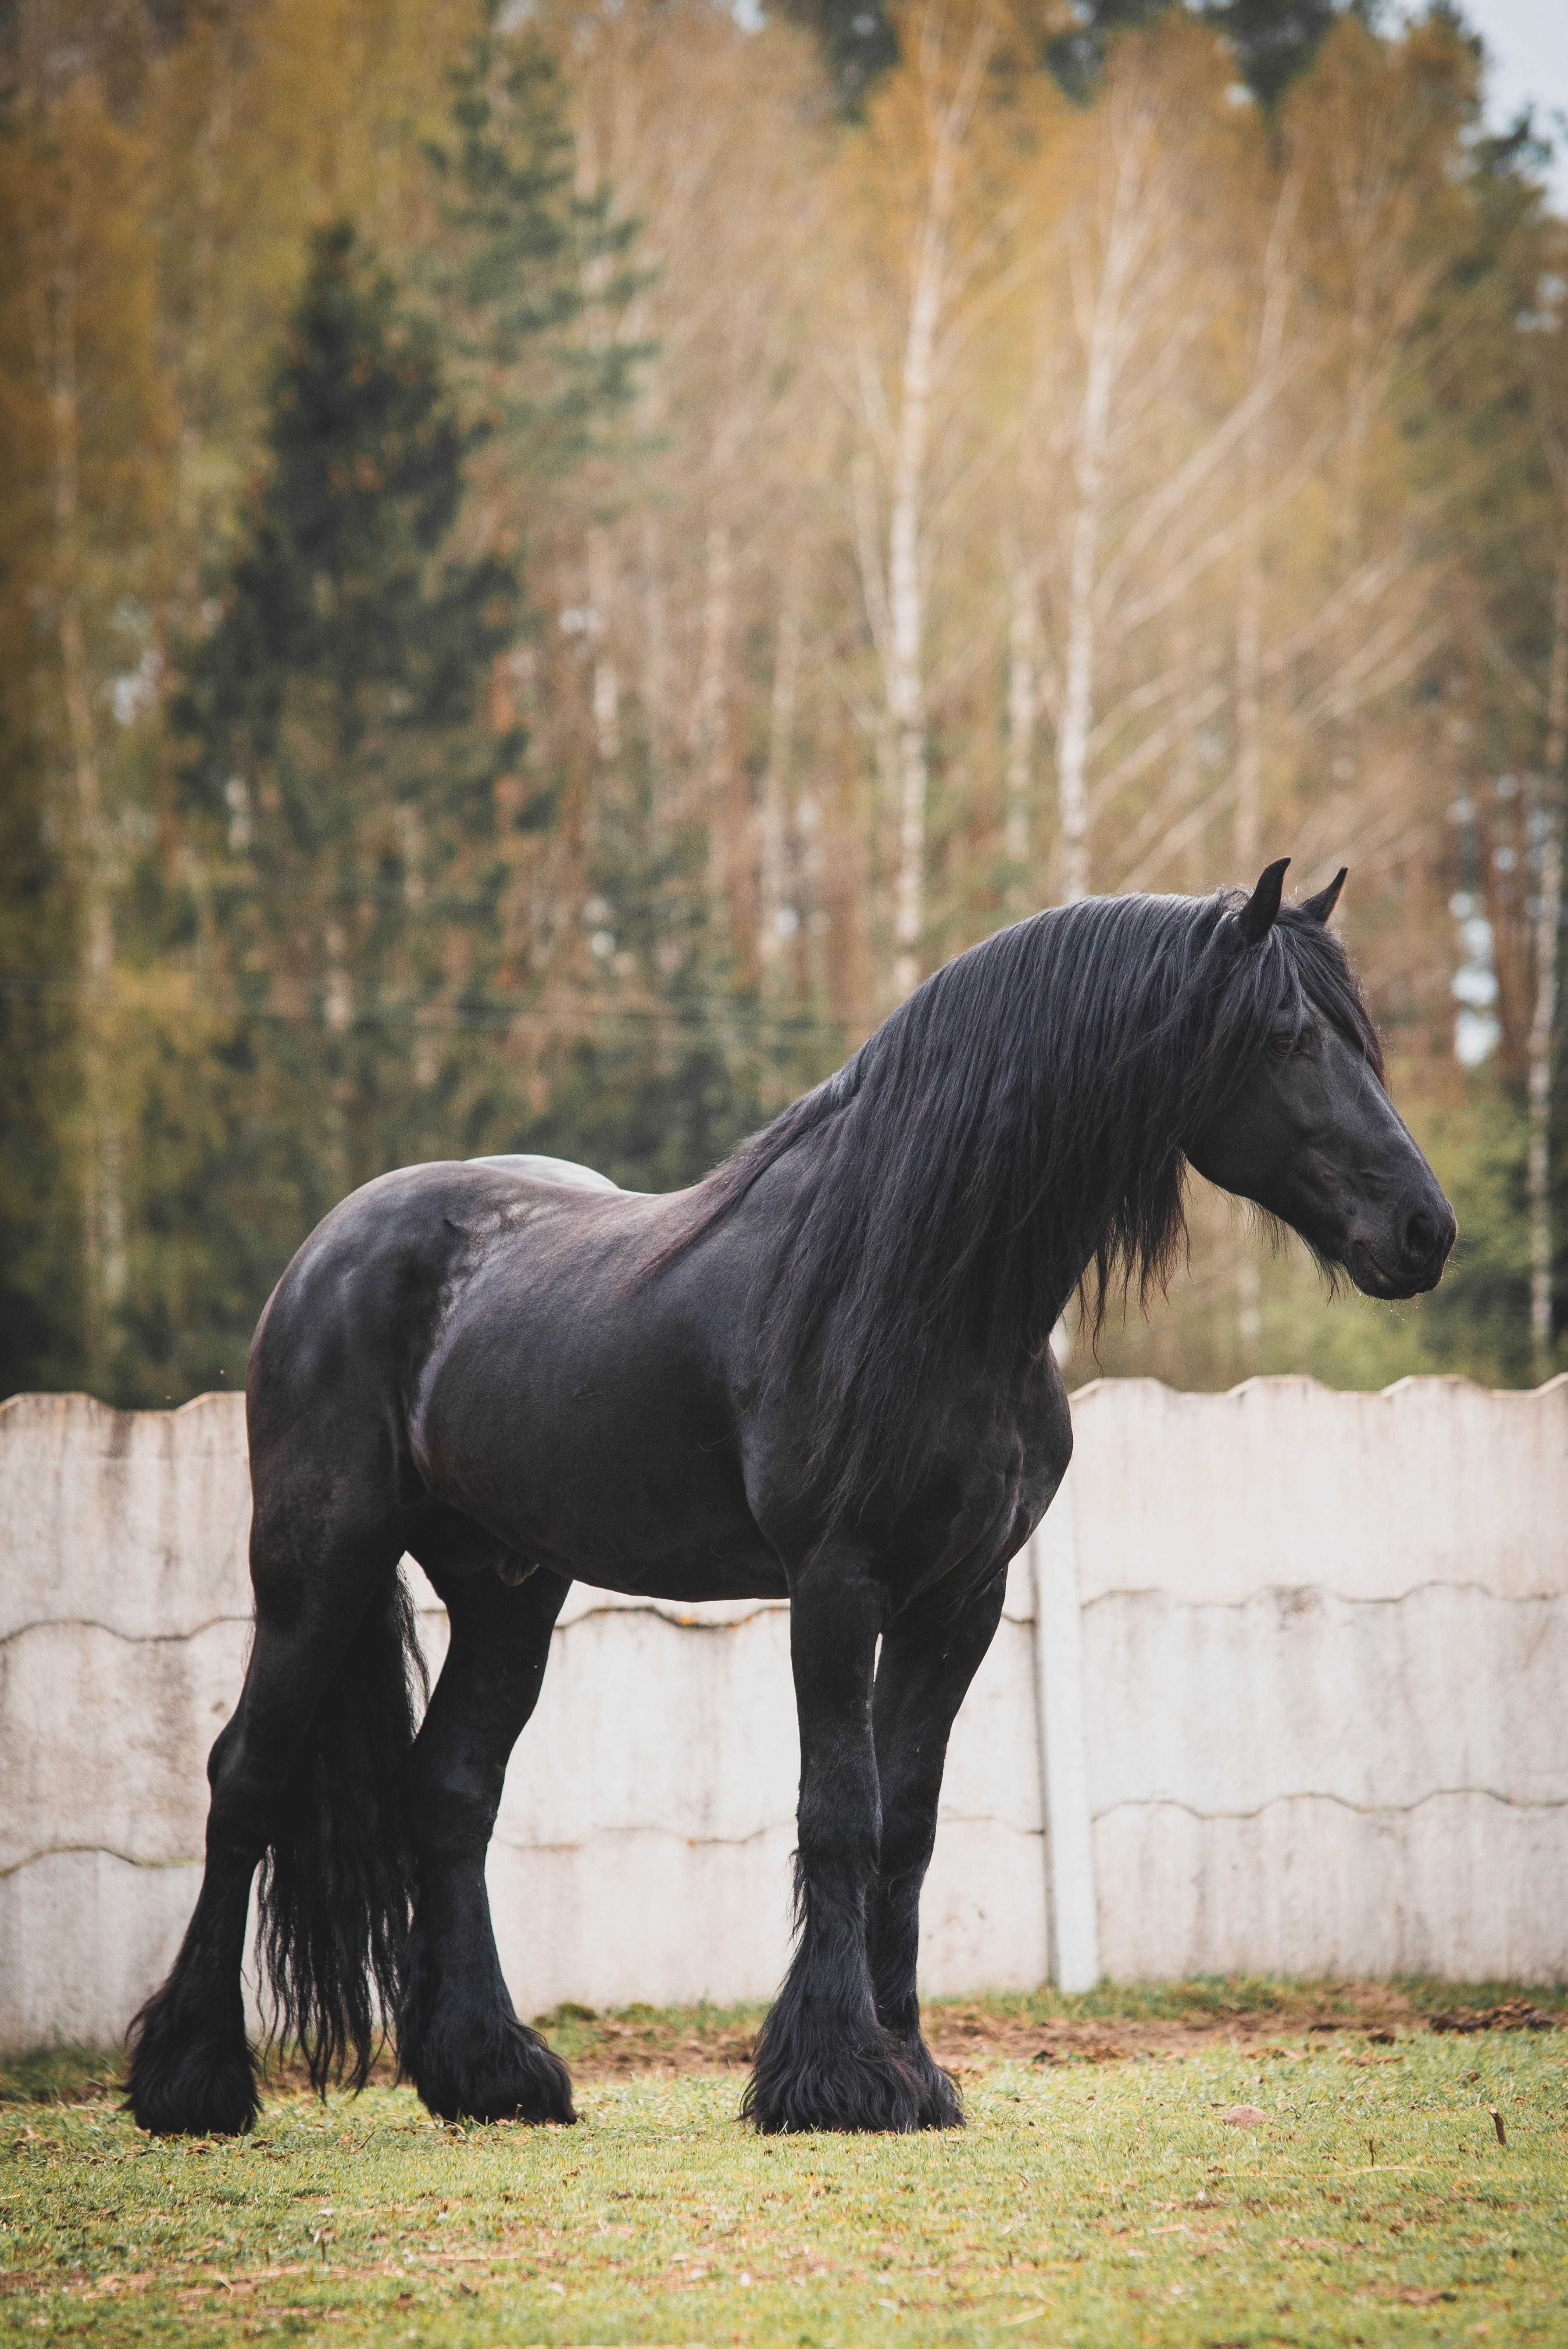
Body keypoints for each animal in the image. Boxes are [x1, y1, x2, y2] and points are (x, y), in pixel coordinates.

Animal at [125, 859, 1455, 2133]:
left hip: (508, 1586)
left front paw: (910, 2066)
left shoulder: (958, 1600)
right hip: (318, 1565)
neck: (912, 1281)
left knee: (450, 1791)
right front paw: (835, 2076)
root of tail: (331, 1247)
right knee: (246, 1775)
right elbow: (839, 1810)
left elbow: (907, 1826)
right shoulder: (835, 1583)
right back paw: (194, 2083)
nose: (1421, 1230)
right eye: (1283, 1036)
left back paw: (490, 2073)